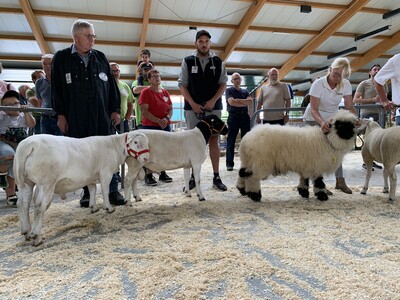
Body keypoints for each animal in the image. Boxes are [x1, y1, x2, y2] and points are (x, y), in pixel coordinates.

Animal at [14, 132, 149, 245]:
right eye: (135, 142)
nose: (145, 158)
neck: (114, 145)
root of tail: (28, 145)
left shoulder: (91, 176)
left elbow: (92, 189)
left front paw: (93, 207)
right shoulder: (105, 173)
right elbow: (105, 190)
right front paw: (108, 208)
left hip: (25, 183)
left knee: (23, 204)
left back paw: (26, 231)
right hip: (46, 183)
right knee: (39, 206)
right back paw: (36, 236)